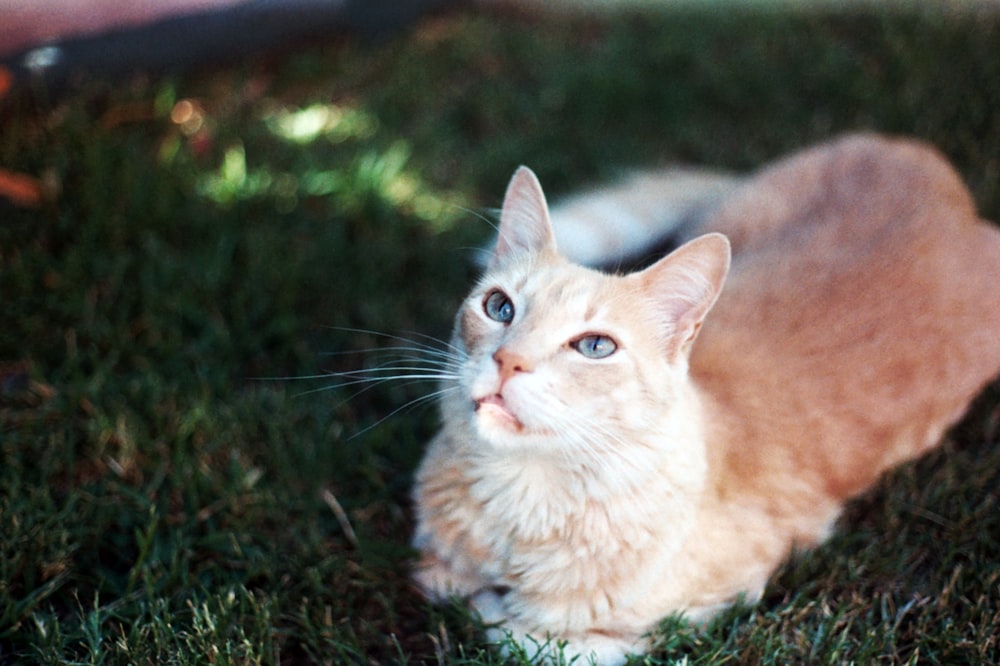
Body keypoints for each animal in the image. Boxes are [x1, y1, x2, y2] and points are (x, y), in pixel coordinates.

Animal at [406, 132, 1000, 660]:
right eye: (499, 307)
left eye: (595, 346)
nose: (509, 361)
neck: (520, 502)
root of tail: (923, 162)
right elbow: (443, 581)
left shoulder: (723, 596)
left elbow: (535, 638)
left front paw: (497, 610)